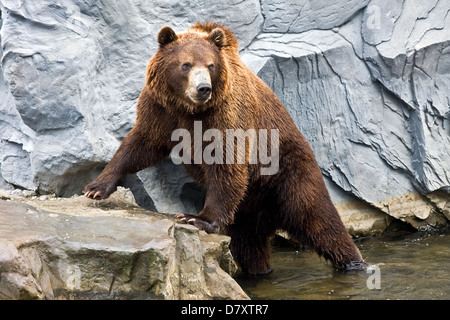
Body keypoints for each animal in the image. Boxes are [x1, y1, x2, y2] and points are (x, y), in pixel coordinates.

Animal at [83, 21, 366, 274]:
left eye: (210, 65)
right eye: (185, 64)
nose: (203, 88)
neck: (188, 108)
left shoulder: (225, 113)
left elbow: (226, 159)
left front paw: (197, 218)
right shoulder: (161, 109)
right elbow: (141, 143)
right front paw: (96, 187)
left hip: (287, 171)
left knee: (318, 220)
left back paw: (353, 263)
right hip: (248, 211)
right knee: (249, 245)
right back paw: (258, 270)